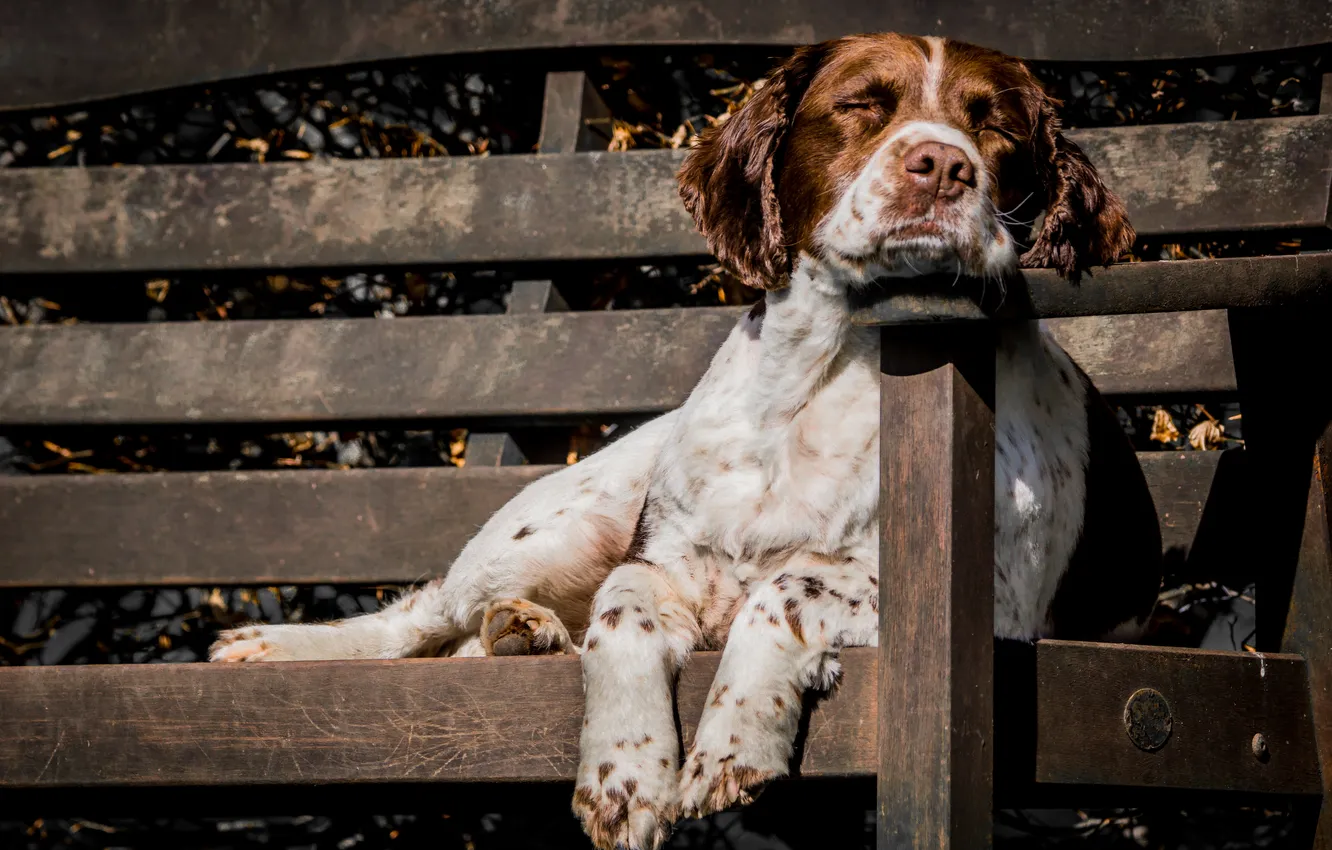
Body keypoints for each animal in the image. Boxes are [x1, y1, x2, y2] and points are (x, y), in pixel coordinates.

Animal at [205, 33, 1156, 850]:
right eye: (860, 104)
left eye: (995, 125)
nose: (943, 164)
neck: (828, 374)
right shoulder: (663, 561)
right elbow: (621, 610)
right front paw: (624, 777)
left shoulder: (995, 604)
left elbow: (788, 587)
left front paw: (735, 741)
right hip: (549, 529)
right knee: (426, 615)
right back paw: (286, 646)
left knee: (468, 636)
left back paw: (523, 631)